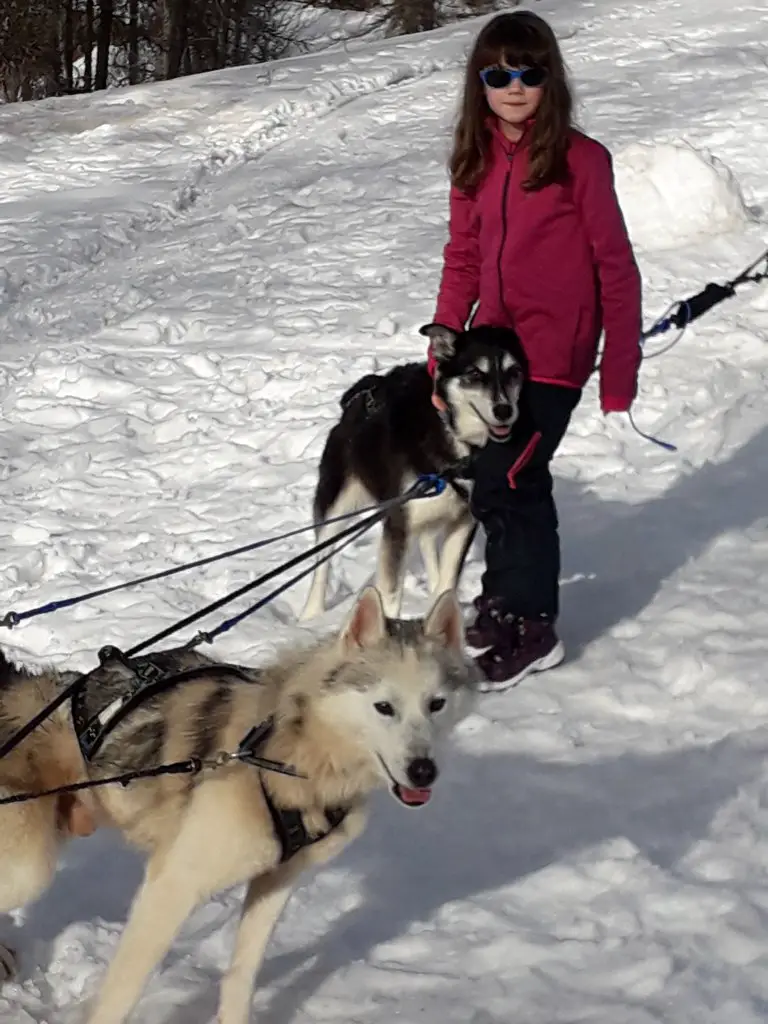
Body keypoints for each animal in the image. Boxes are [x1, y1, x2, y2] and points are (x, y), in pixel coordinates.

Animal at [0, 585, 481, 1024]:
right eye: (384, 706)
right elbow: (122, 991)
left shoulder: (276, 882)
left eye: (436, 704)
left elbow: (241, 974)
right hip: (29, 865)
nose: (423, 770)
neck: (288, 754)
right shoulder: (172, 886)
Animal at [301, 323, 528, 618]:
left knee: (428, 543)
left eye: (514, 372)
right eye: (475, 373)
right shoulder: (398, 525)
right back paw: (311, 614)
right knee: (322, 558)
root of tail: (366, 391)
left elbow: (447, 584)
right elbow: (389, 596)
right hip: (338, 504)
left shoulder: (463, 522)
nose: (504, 410)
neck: (452, 434)